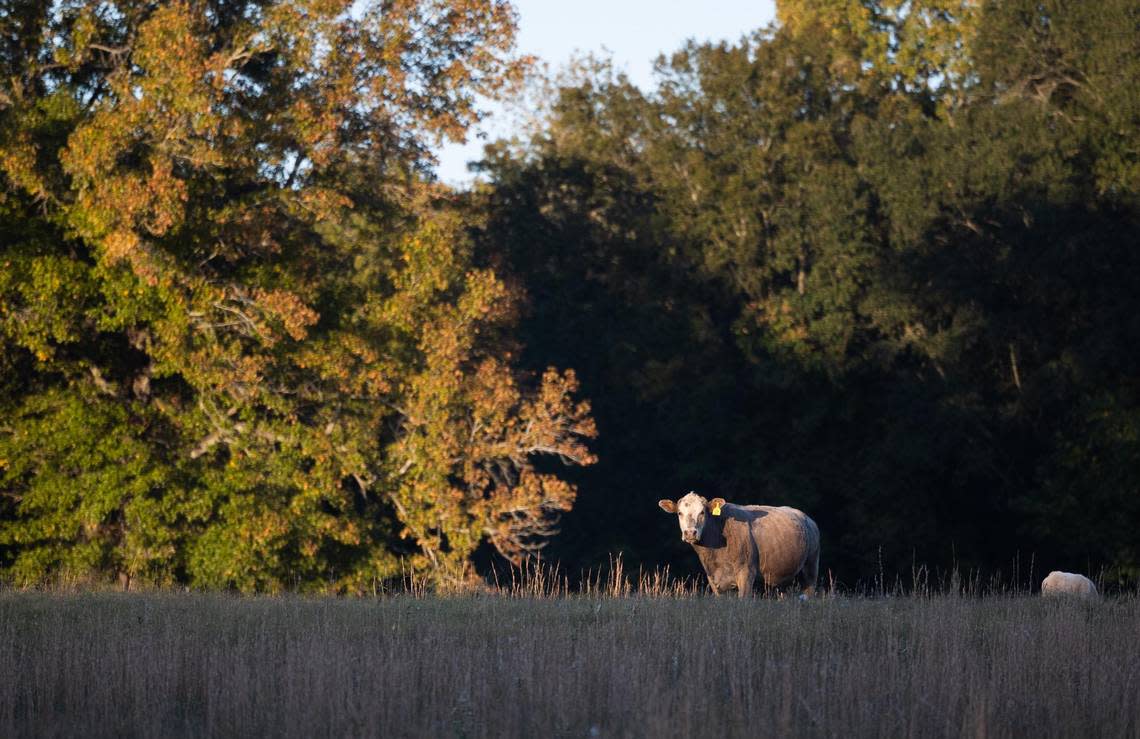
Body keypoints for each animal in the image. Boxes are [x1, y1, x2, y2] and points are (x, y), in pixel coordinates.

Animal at [661, 492, 820, 597]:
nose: (690, 533)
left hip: (811, 566)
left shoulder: (746, 572)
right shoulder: (713, 578)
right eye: (679, 513)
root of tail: (807, 518)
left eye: (702, 512)